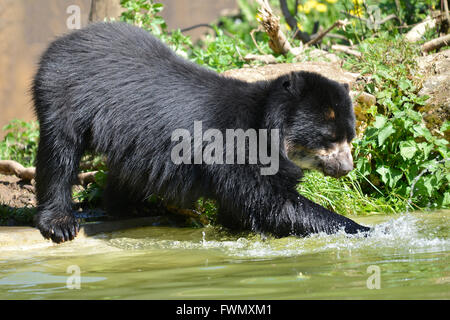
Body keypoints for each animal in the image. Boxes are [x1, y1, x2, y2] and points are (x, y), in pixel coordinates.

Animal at [30, 21, 370, 242]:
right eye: (328, 138)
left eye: (349, 137)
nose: (346, 167)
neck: (268, 127)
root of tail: (62, 41)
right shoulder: (238, 148)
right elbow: (270, 203)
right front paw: (366, 229)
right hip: (64, 95)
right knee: (59, 154)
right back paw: (60, 223)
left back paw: (130, 205)